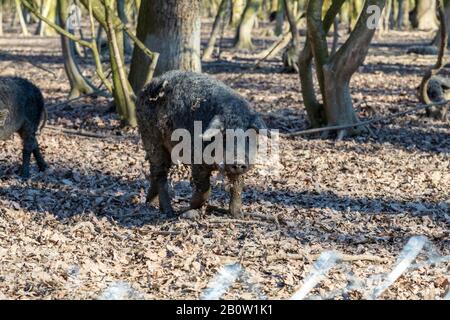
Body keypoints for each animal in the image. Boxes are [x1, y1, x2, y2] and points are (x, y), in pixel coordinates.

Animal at [135, 70, 266, 218]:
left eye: (249, 137)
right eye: (224, 136)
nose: (237, 162)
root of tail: (148, 86)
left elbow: (237, 185)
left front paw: (237, 215)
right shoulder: (196, 160)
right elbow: (204, 187)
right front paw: (189, 208)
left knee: (154, 173)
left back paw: (150, 203)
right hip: (152, 139)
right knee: (160, 173)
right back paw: (169, 211)